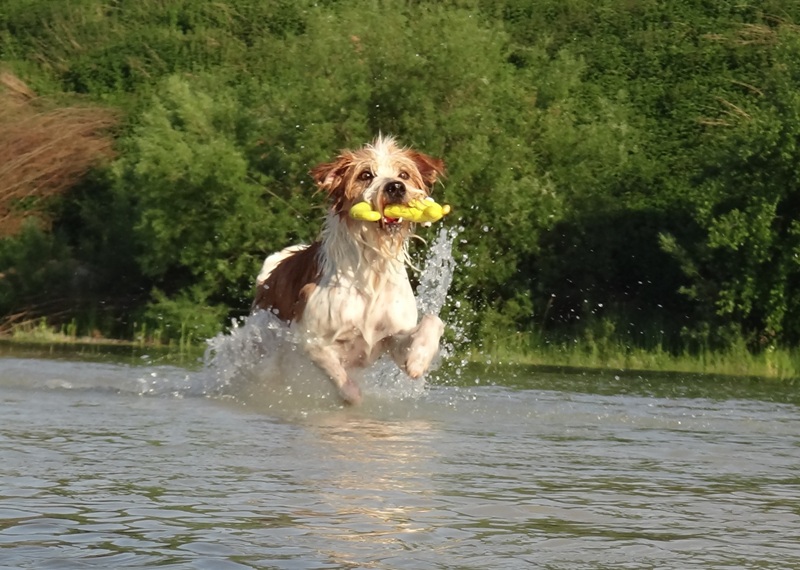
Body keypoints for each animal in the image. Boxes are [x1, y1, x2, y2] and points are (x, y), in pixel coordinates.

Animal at [252, 136, 447, 405]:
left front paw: (419, 358)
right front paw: (351, 394)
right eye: (366, 175)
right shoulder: (309, 335)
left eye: (404, 174)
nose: (395, 187)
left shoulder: (391, 337)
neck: (372, 269)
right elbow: (340, 378)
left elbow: (432, 321)